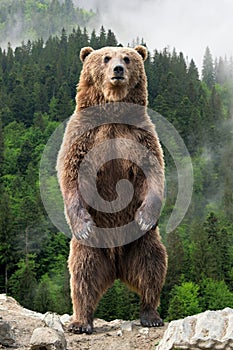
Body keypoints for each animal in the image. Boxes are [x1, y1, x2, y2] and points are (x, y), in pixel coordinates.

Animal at [57, 45, 168, 334]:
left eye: (127, 58)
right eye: (106, 57)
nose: (117, 69)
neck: (113, 111)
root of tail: (117, 267)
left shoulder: (141, 136)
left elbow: (154, 173)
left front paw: (145, 217)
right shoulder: (82, 137)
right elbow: (70, 175)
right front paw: (82, 224)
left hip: (142, 243)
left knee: (153, 267)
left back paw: (151, 314)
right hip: (91, 248)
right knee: (82, 276)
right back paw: (80, 322)